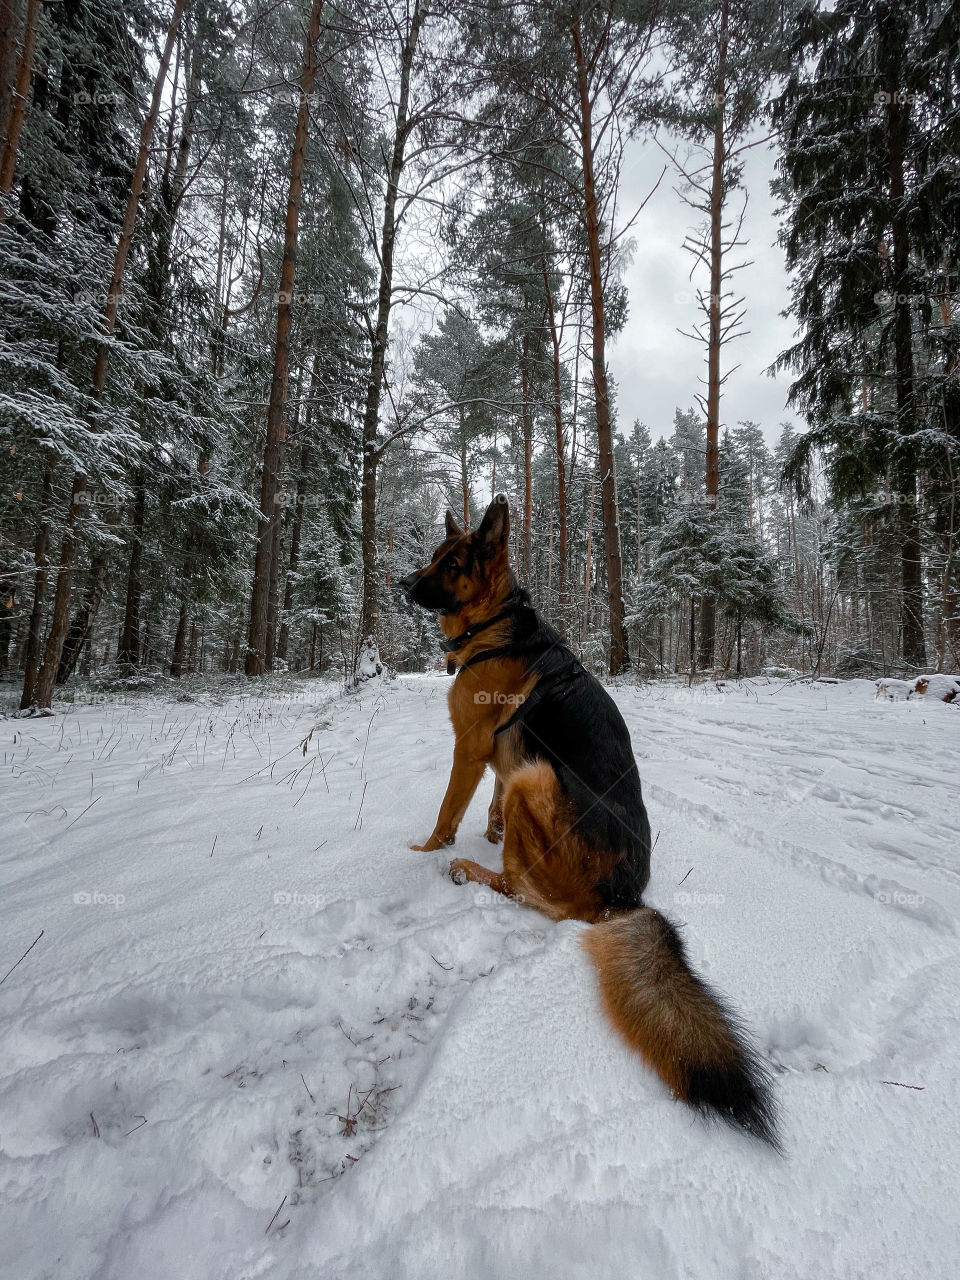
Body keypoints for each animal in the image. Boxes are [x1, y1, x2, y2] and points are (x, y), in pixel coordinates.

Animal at [399, 494, 783, 1146]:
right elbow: (490, 803)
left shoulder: (470, 751)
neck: (495, 625)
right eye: (433, 556)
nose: (401, 584)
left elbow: (447, 813)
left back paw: (467, 870)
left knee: (522, 891)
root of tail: (624, 897)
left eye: (451, 564)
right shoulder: (500, 764)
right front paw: (490, 830)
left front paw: (427, 855)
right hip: (528, 777)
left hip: (537, 778)